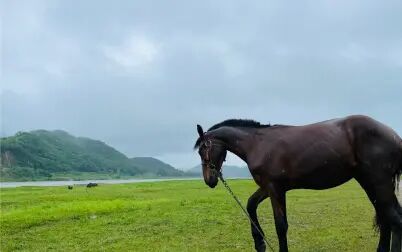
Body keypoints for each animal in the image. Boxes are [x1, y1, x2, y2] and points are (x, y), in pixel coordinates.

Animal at [193, 115, 402, 252]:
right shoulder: (268, 187)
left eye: (203, 149)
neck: (258, 144)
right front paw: (259, 243)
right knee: (386, 219)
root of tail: (393, 135)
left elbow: (281, 226)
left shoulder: (275, 189)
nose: (209, 180)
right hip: (371, 184)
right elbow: (251, 205)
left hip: (378, 183)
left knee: (395, 219)